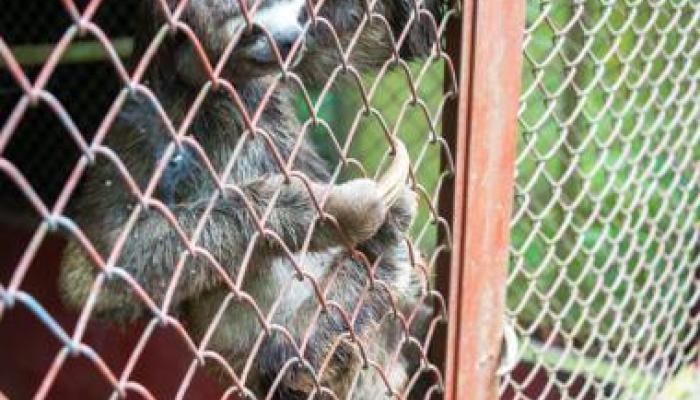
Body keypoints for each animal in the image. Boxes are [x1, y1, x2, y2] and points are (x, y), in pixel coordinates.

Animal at [59, 0, 442, 398]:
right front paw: (319, 211)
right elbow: (98, 266)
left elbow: (394, 32)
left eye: (296, 12)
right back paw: (378, 253)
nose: (290, 38)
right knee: (297, 354)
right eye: (248, 31)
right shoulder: (145, 119)